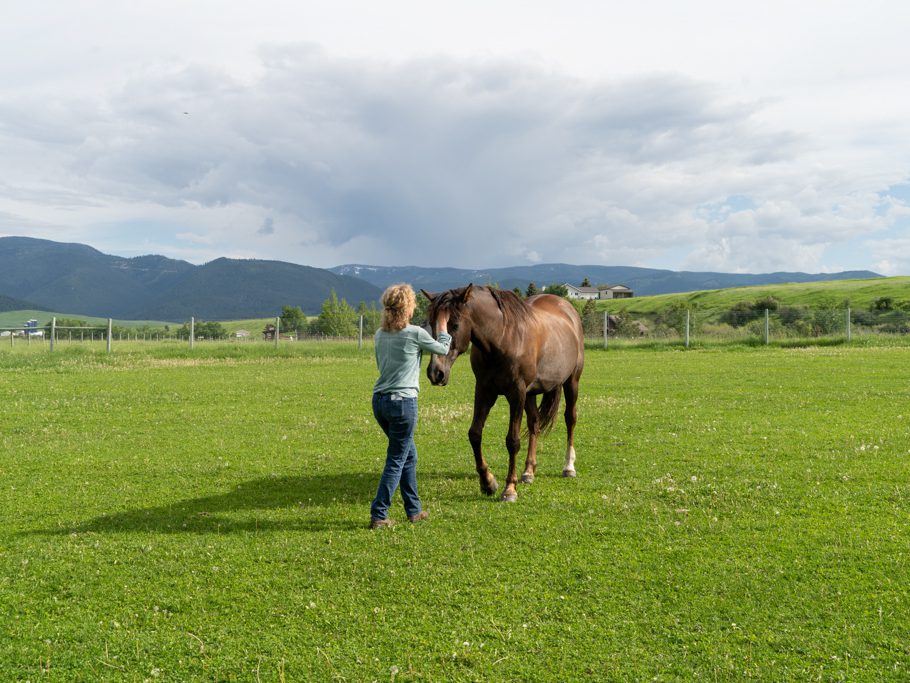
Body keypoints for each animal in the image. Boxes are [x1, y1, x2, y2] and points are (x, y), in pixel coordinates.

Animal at [426, 284, 588, 502]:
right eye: (431, 324)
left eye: (455, 324)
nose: (436, 372)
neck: (502, 338)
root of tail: (567, 309)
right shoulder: (484, 390)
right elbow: (475, 434)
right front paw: (488, 482)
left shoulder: (516, 393)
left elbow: (513, 441)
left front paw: (509, 489)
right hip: (531, 393)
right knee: (534, 423)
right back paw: (528, 471)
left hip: (571, 382)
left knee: (570, 419)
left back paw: (568, 467)